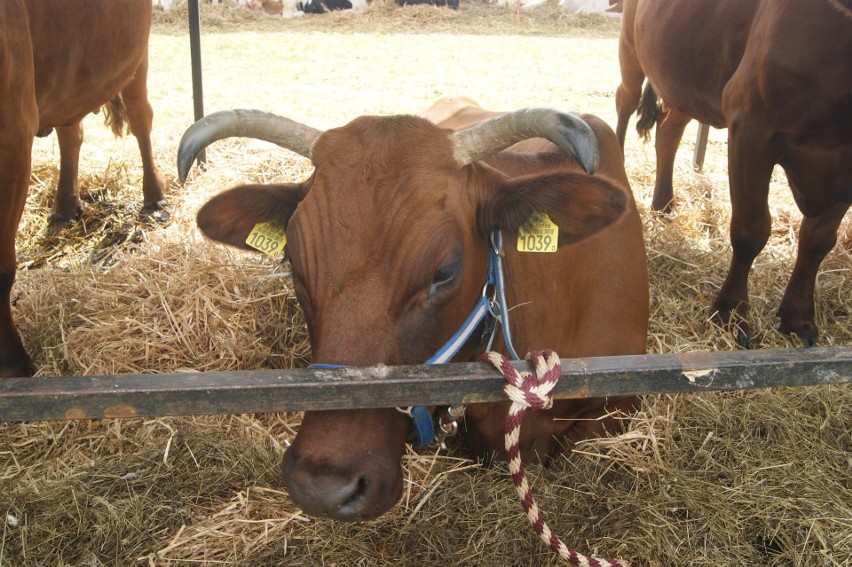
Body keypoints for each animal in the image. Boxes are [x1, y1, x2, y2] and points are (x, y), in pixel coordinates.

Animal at [0, 1, 165, 382]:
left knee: (140, 117)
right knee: (71, 130)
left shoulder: (12, 134)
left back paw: (154, 199)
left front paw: (12, 363)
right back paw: (64, 207)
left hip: (137, 56)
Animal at [616, 0, 852, 346]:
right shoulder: (751, 125)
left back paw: (664, 203)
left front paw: (798, 317)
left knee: (668, 130)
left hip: (684, 79)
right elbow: (750, 231)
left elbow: (818, 240)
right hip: (630, 52)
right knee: (624, 100)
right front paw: (731, 312)